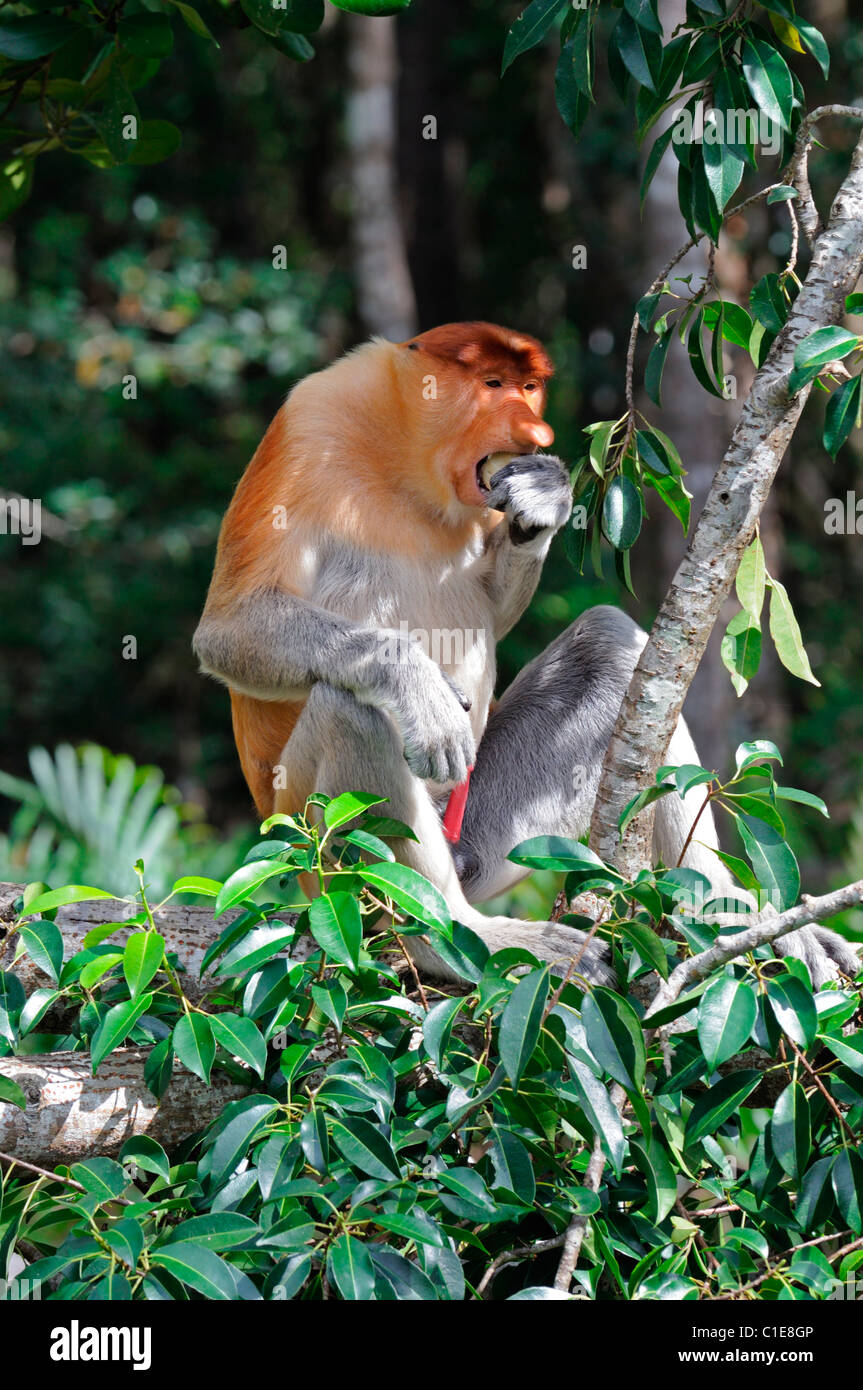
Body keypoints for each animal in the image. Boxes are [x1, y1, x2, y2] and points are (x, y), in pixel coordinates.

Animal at [191, 319, 856, 984]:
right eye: (492, 384)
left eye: (529, 387)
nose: (536, 434)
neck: (407, 456)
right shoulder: (309, 423)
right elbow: (229, 625)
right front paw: (418, 687)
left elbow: (497, 605)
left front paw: (542, 498)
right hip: (312, 840)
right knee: (353, 711)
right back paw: (456, 938)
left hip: (487, 829)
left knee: (608, 639)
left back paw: (720, 904)